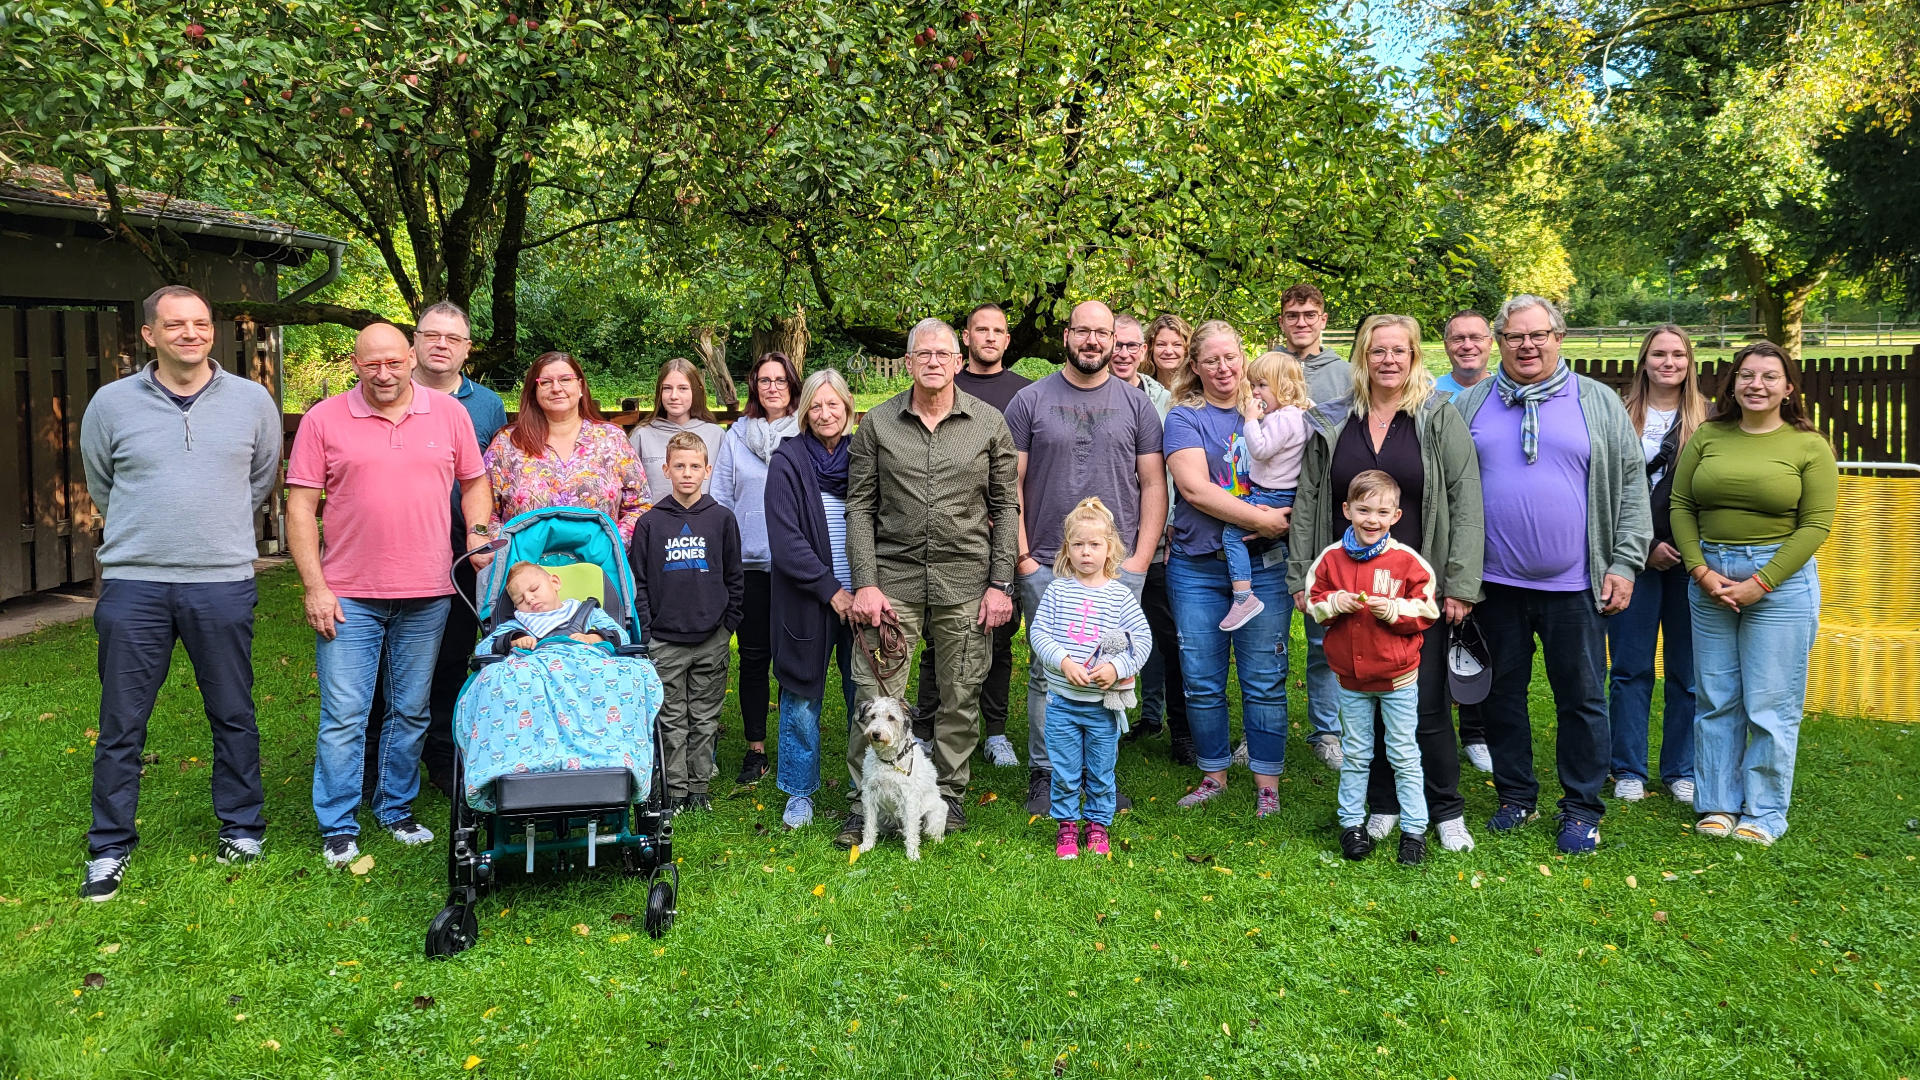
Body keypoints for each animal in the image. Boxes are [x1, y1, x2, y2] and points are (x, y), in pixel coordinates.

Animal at [856, 699, 944, 857]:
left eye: (891, 717)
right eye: (873, 716)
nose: (876, 734)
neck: (889, 761)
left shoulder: (909, 798)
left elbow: (912, 830)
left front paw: (912, 854)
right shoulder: (869, 795)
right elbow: (869, 825)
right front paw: (866, 846)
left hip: (935, 813)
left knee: (932, 832)